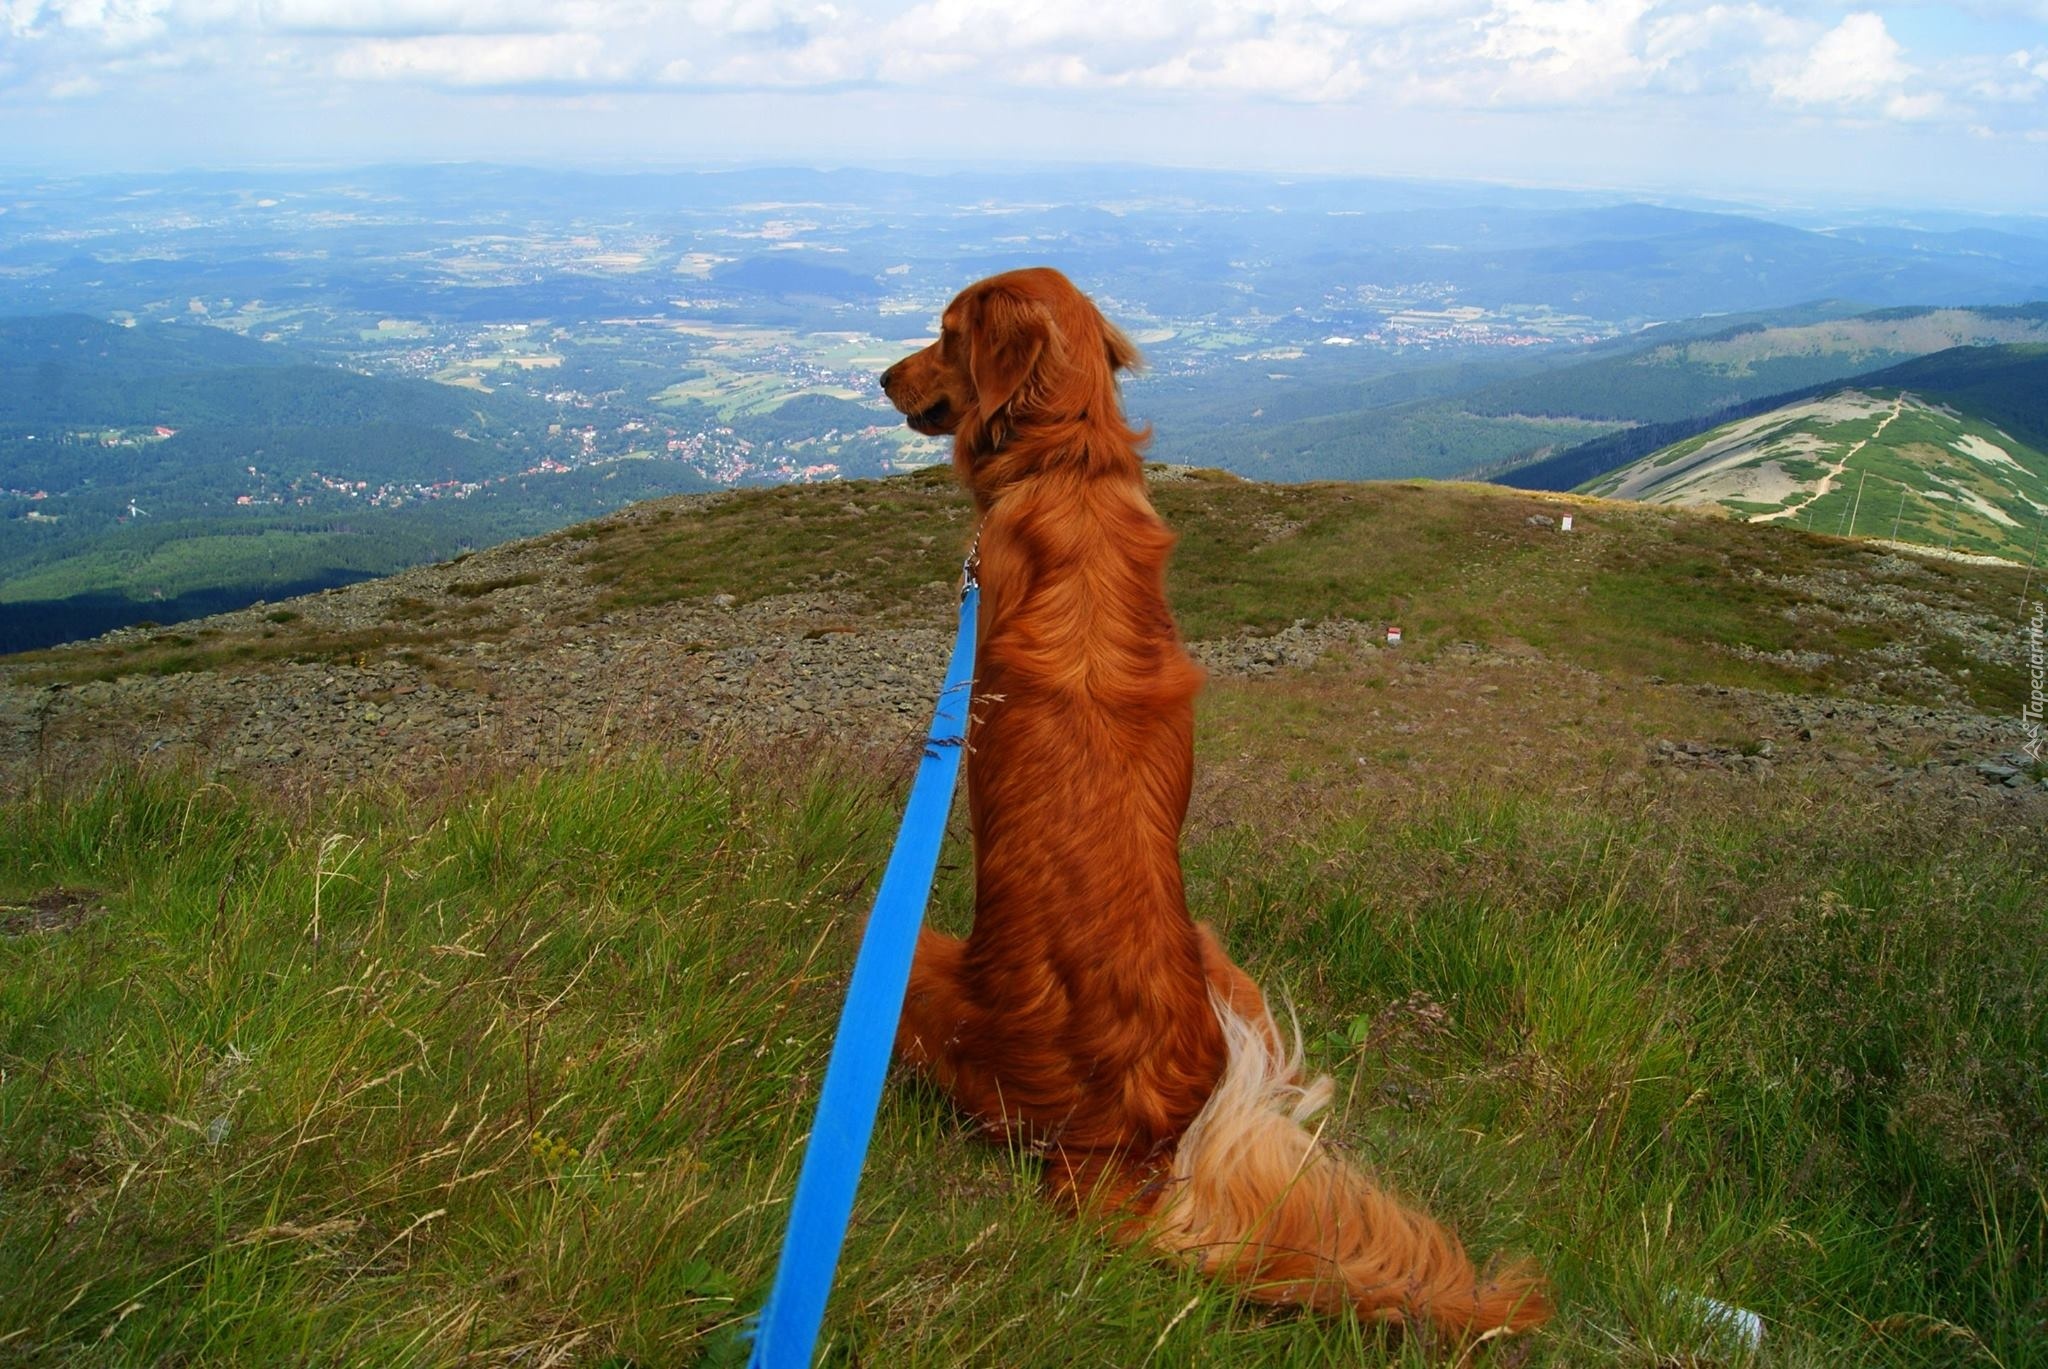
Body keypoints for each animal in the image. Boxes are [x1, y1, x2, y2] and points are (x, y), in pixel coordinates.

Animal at [872, 264, 1540, 1336]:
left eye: (943, 334)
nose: (882, 377)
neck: (1071, 462)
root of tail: (1143, 1141)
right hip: (1224, 959)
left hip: (922, 971)